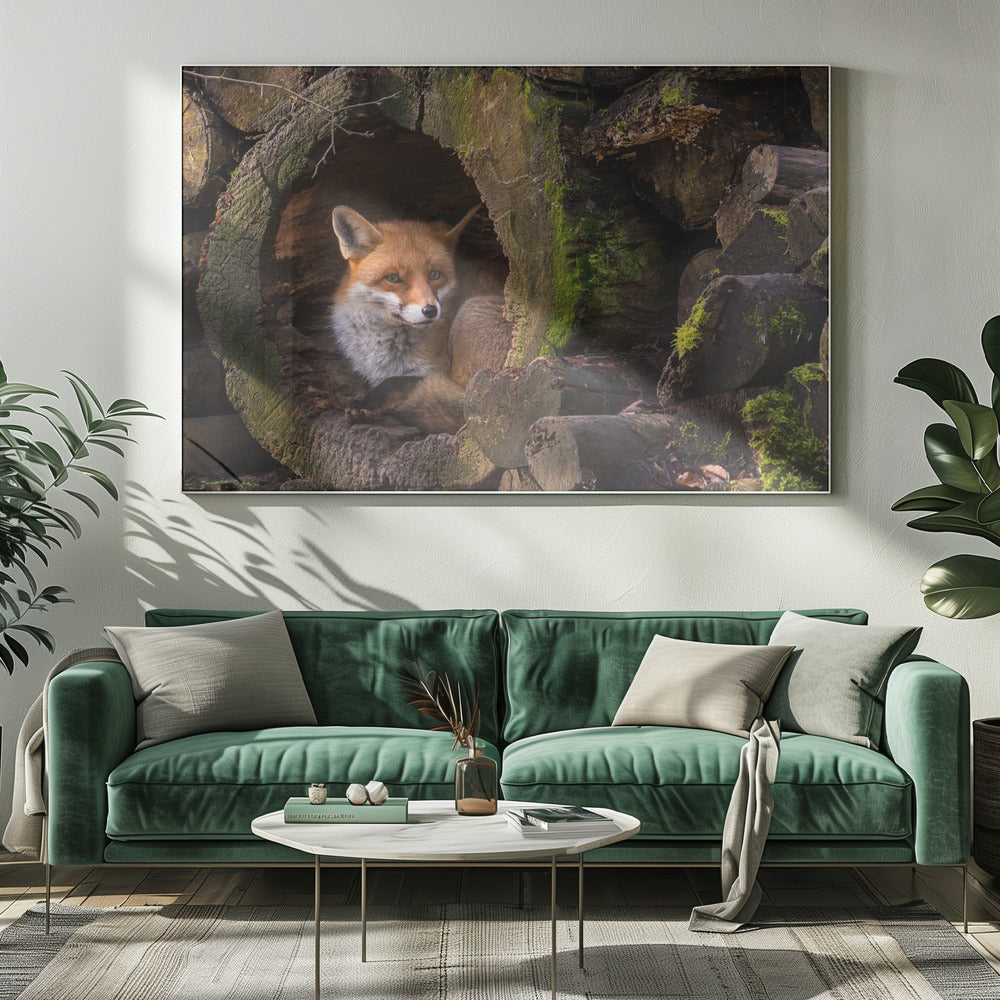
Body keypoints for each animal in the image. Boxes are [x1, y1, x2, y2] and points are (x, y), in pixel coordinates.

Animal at [330, 204, 512, 435]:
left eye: (434, 274)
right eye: (393, 278)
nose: (430, 310)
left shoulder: (434, 371)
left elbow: (395, 382)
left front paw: (366, 403)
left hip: (471, 318)